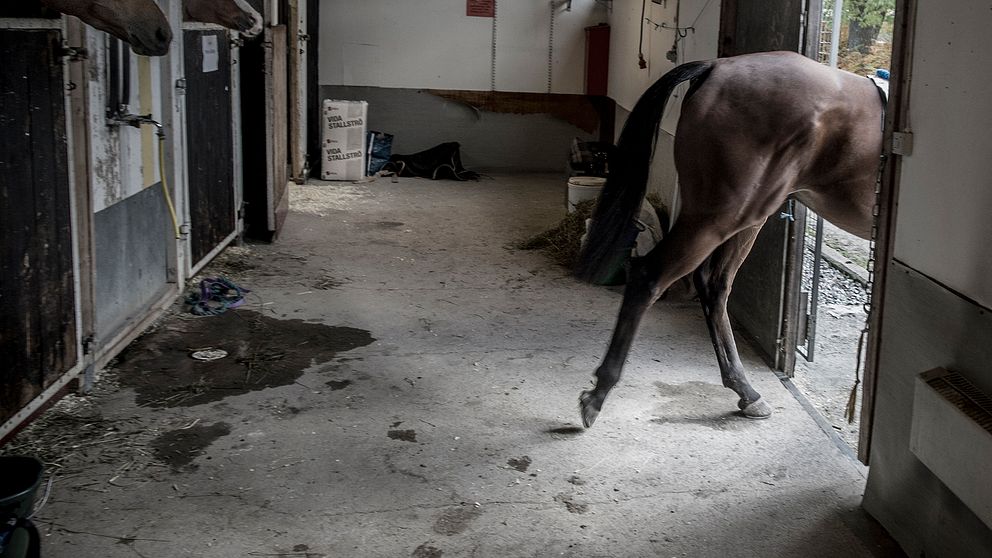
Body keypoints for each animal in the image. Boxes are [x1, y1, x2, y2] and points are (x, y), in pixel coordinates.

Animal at [576, 52, 888, 428]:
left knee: (714, 285)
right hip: (721, 216)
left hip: (746, 218)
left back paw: (746, 391)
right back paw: (598, 394)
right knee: (650, 276)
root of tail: (715, 68)